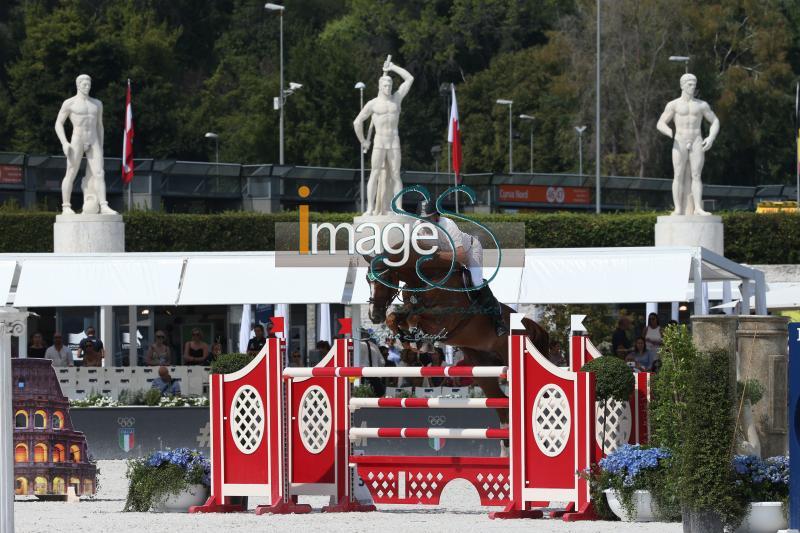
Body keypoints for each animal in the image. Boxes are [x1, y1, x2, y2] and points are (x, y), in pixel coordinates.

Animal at [364, 249, 548, 432]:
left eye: (386, 278)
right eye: (367, 280)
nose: (374, 316)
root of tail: (530, 325)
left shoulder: (444, 319)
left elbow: (414, 316)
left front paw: (420, 342)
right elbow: (395, 317)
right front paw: (409, 339)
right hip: (482, 367)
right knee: (501, 402)